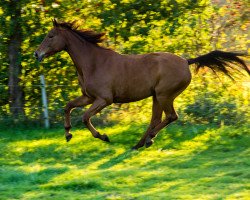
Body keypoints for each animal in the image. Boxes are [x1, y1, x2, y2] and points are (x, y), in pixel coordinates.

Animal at [34, 19, 249, 149]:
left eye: (51, 36)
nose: (37, 54)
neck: (93, 63)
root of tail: (186, 61)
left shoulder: (104, 99)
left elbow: (85, 117)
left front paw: (103, 136)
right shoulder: (88, 97)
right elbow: (68, 106)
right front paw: (68, 134)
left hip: (164, 95)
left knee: (170, 117)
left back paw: (148, 139)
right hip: (156, 96)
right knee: (157, 119)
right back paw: (140, 143)